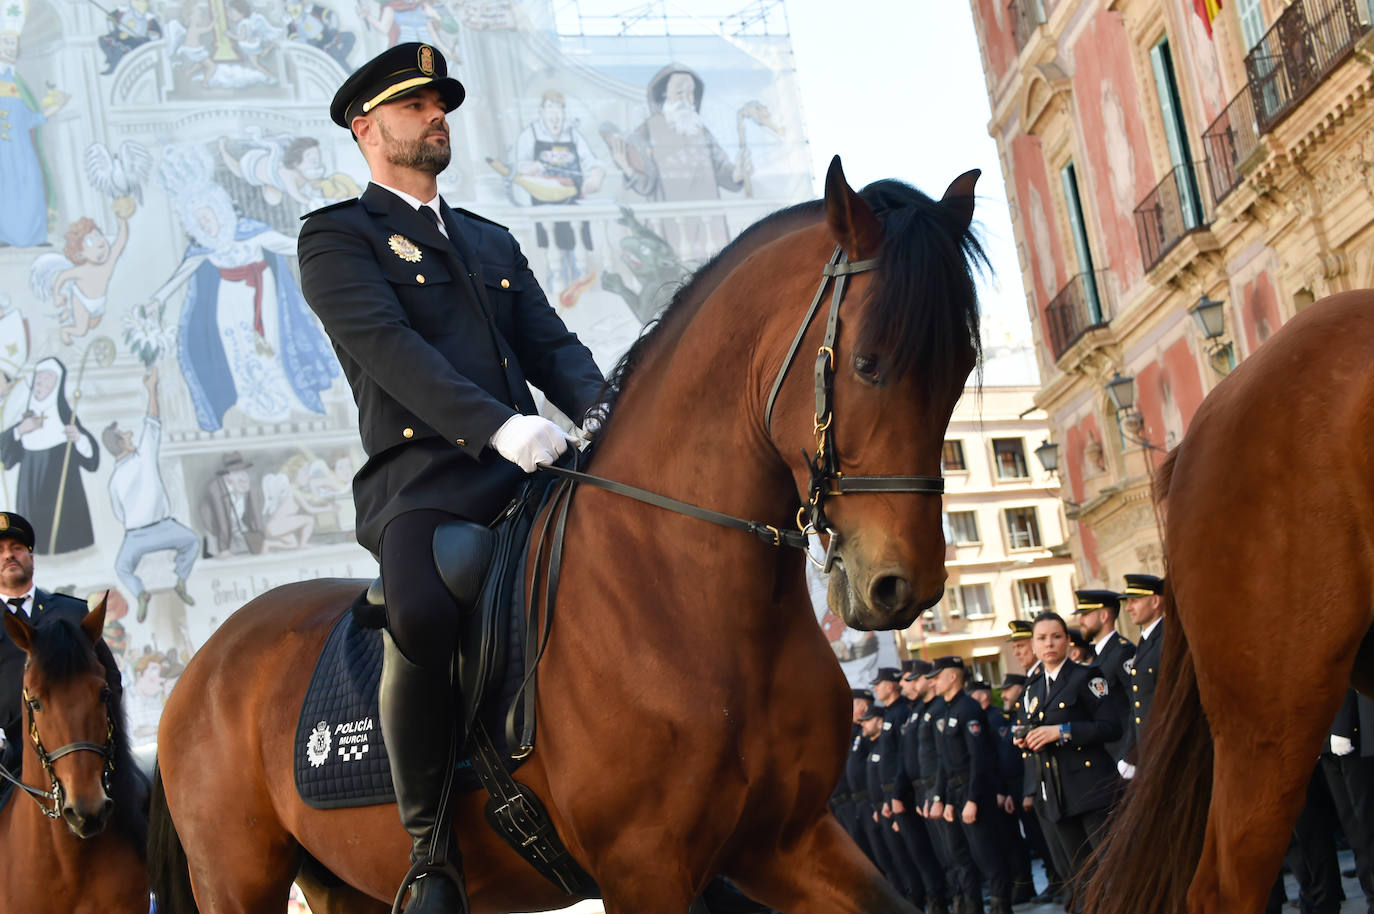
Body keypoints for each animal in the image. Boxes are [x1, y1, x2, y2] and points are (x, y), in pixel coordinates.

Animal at [147, 156, 989, 912]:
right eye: (869, 363)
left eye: (962, 366)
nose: (902, 585)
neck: (686, 594)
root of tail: (201, 668)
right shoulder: (644, 868)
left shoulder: (786, 843)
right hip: (238, 880)